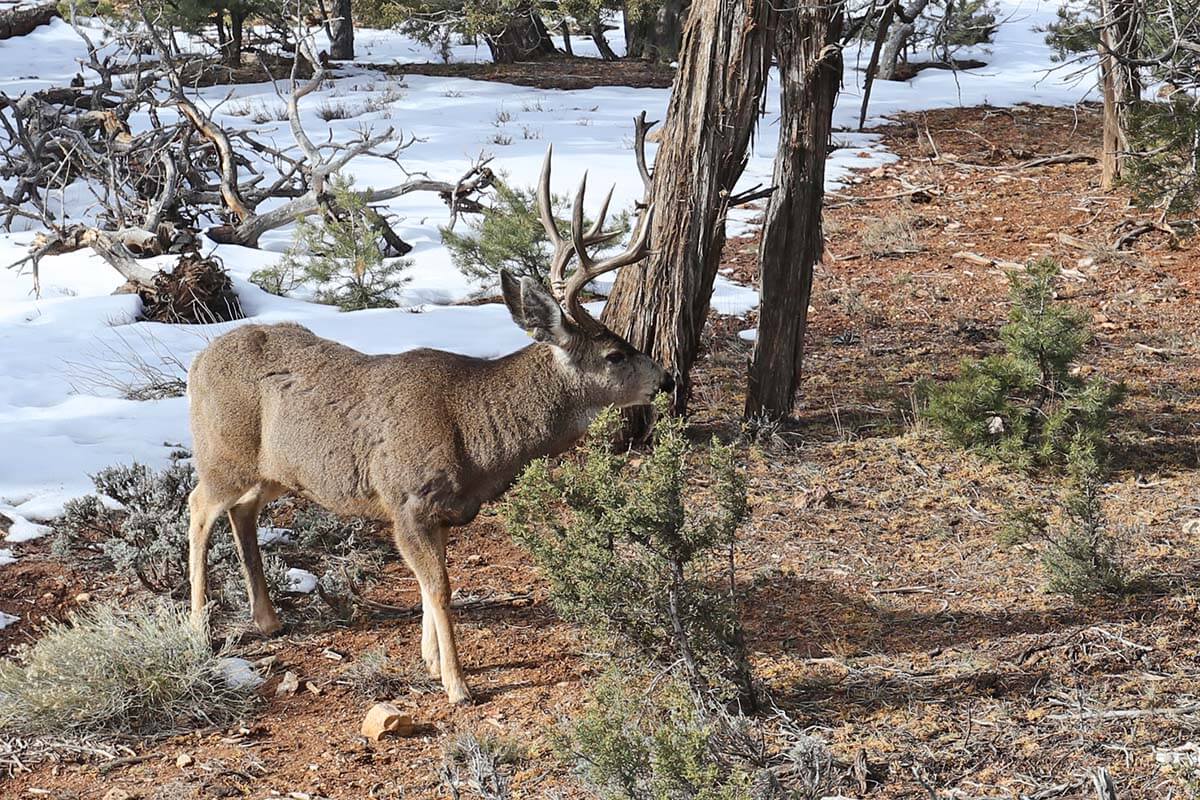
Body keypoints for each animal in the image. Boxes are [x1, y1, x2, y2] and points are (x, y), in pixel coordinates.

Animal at [192, 146, 672, 705]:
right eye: (615, 354)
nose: (666, 378)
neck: (476, 434)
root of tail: (197, 362)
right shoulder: (407, 500)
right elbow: (440, 588)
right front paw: (457, 684)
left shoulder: (440, 512)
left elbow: (430, 586)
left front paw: (429, 659)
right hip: (222, 452)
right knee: (198, 507)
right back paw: (199, 627)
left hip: (276, 470)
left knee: (241, 512)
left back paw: (269, 620)